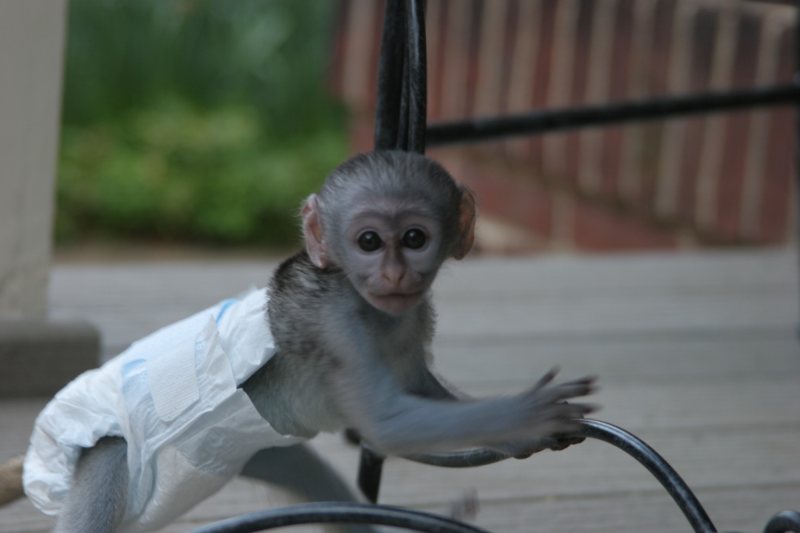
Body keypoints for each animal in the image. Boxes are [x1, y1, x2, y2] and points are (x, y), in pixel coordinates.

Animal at [20, 150, 596, 533]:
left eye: (415, 238)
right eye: (369, 241)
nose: (393, 273)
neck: (373, 310)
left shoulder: (416, 316)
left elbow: (416, 389)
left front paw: (519, 435)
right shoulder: (334, 322)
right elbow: (387, 424)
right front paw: (527, 414)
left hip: (242, 452)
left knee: (316, 481)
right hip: (110, 453)